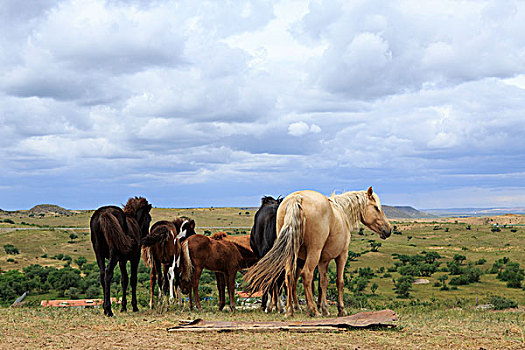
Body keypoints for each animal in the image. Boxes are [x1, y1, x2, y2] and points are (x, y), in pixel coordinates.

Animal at [245, 187, 388, 318]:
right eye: (376, 208)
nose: (388, 229)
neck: (342, 212)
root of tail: (297, 199)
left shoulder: (323, 260)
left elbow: (322, 283)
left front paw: (324, 309)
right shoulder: (341, 255)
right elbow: (339, 282)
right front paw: (340, 309)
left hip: (291, 253)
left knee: (289, 276)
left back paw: (290, 310)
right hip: (313, 252)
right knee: (306, 275)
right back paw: (312, 310)